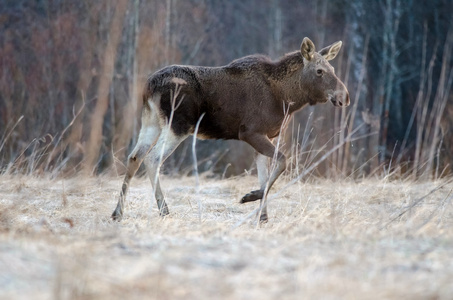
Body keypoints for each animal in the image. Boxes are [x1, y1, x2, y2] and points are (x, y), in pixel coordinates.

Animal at [111, 36, 348, 221]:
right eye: (319, 71)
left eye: (333, 69)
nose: (344, 96)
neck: (287, 98)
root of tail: (149, 86)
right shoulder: (250, 132)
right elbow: (283, 161)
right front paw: (249, 197)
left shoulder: (264, 136)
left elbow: (265, 175)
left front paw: (262, 217)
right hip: (178, 125)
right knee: (153, 159)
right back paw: (163, 210)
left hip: (151, 122)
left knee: (134, 157)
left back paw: (117, 212)